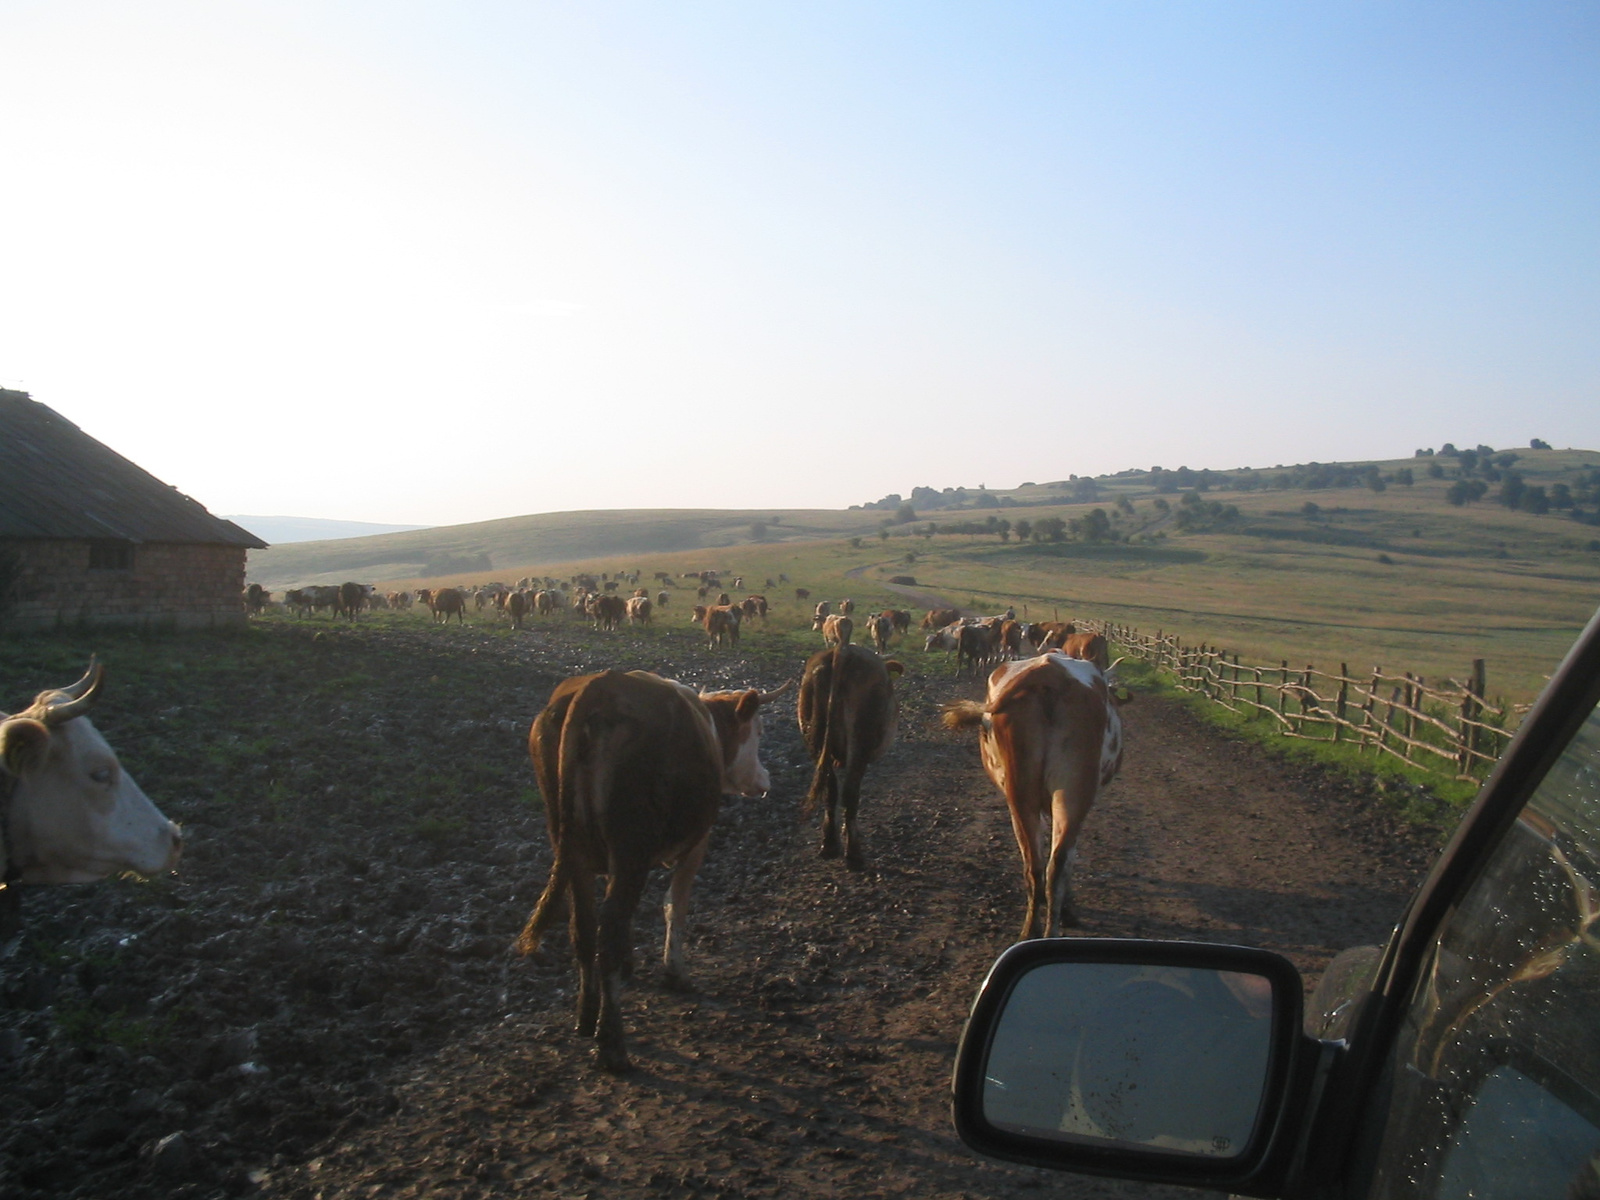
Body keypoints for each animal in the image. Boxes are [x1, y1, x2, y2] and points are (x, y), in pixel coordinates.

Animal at [512, 672, 787, 1075]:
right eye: (760, 730)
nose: (765, 779)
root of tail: (597, 688)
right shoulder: (696, 844)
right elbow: (675, 906)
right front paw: (675, 972)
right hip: (631, 845)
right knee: (609, 926)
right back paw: (612, 1045)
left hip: (572, 848)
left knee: (586, 927)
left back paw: (587, 1015)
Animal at [796, 643, 902, 870]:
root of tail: (842, 650)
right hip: (860, 742)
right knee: (850, 793)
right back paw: (853, 852)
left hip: (814, 738)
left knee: (830, 790)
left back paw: (829, 844)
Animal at [940, 659, 1132, 940]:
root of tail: (1048, 674)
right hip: (1074, 793)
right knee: (1058, 863)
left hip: (1022, 794)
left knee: (1036, 864)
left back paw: (1031, 930)